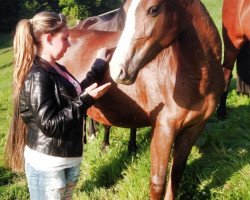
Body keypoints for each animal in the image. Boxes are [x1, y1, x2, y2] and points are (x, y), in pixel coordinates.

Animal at [59, 0, 224, 198]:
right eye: (125, 10)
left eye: (153, 9)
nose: (116, 70)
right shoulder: (163, 131)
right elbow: (157, 183)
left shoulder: (193, 129)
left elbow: (176, 176)